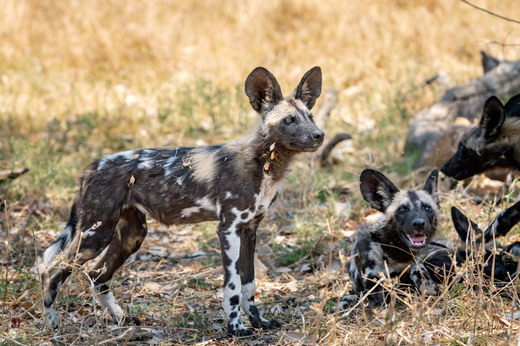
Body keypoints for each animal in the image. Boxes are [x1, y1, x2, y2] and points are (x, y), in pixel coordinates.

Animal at [38, 65, 324, 336]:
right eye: (289, 120)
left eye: (310, 117)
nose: (319, 135)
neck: (263, 163)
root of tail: (91, 167)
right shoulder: (228, 229)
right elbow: (232, 287)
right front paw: (236, 328)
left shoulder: (250, 230)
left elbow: (249, 285)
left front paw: (258, 322)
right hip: (95, 236)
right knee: (51, 273)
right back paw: (51, 323)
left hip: (131, 236)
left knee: (97, 276)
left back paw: (121, 319)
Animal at [344, 168, 440, 308]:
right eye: (402, 210)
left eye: (427, 208)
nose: (419, 224)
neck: (396, 254)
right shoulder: (374, 286)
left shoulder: (415, 265)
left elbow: (419, 273)